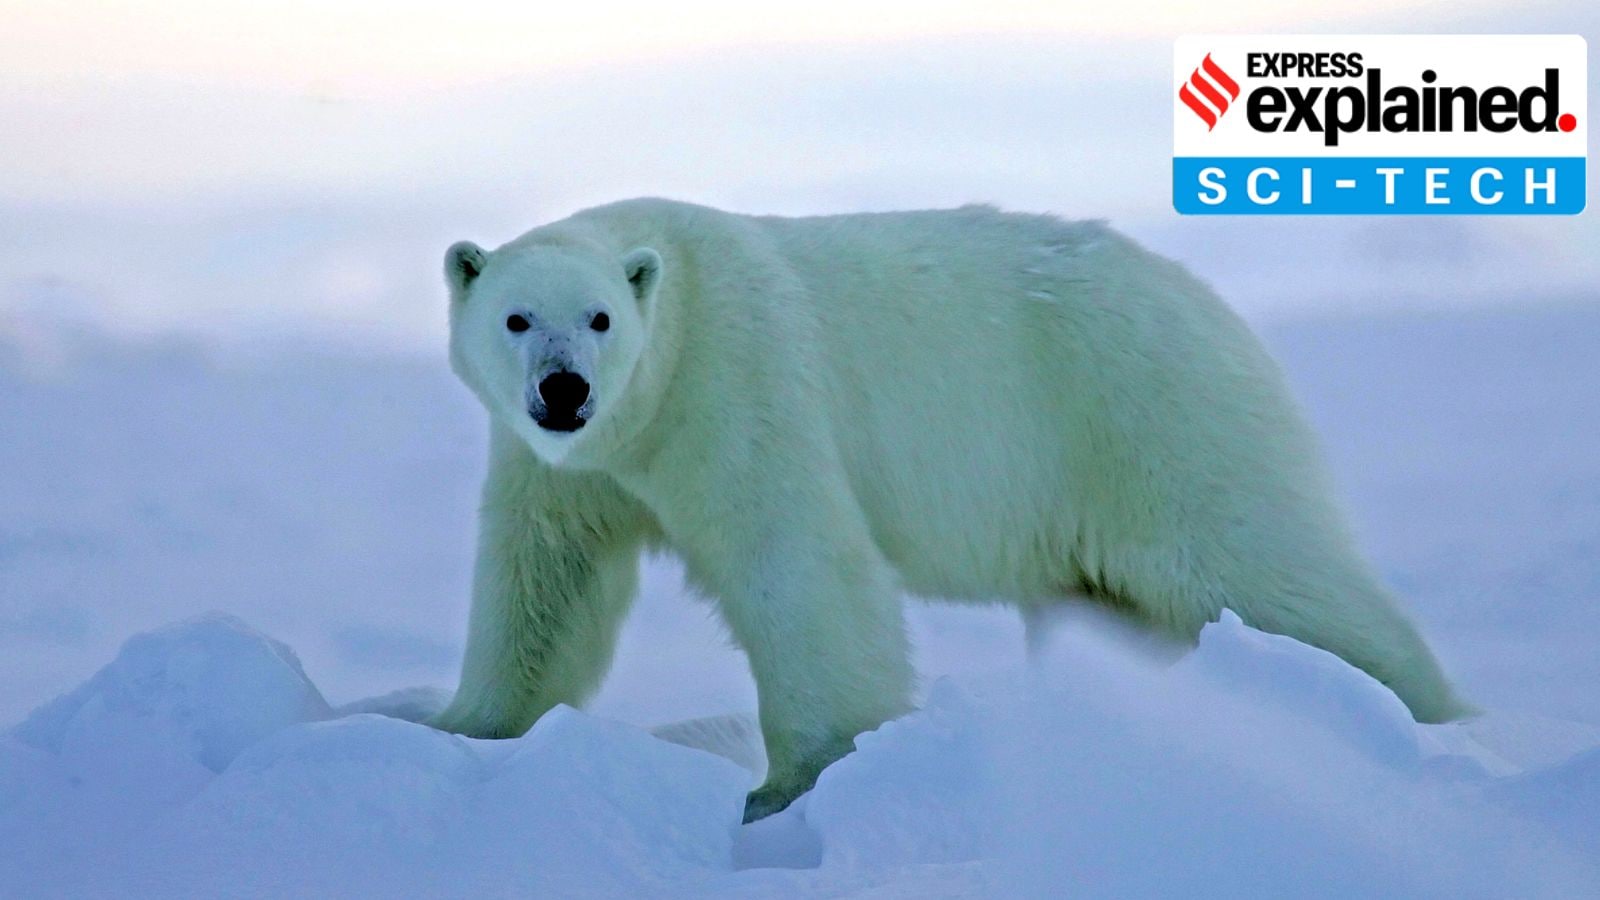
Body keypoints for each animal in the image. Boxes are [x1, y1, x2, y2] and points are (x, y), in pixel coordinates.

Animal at [428, 198, 1470, 821]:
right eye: (517, 318)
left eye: (601, 318)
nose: (565, 389)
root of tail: (1210, 303)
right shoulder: (562, 469)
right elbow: (545, 584)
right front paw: (462, 728)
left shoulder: (736, 383)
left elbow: (798, 565)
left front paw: (795, 786)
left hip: (1147, 417)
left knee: (1261, 569)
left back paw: (1424, 721)